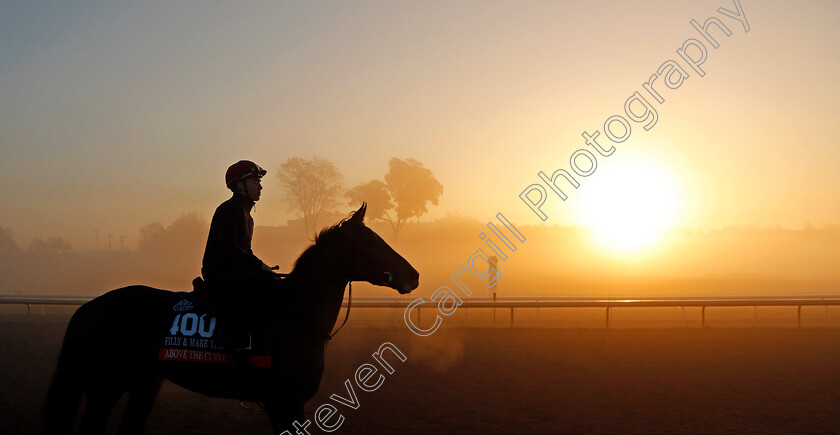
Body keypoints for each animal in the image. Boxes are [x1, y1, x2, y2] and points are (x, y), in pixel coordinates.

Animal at [41, 205, 418, 435]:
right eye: (372, 241)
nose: (413, 275)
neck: (294, 314)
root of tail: (89, 307)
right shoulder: (286, 402)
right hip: (106, 384)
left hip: (144, 382)